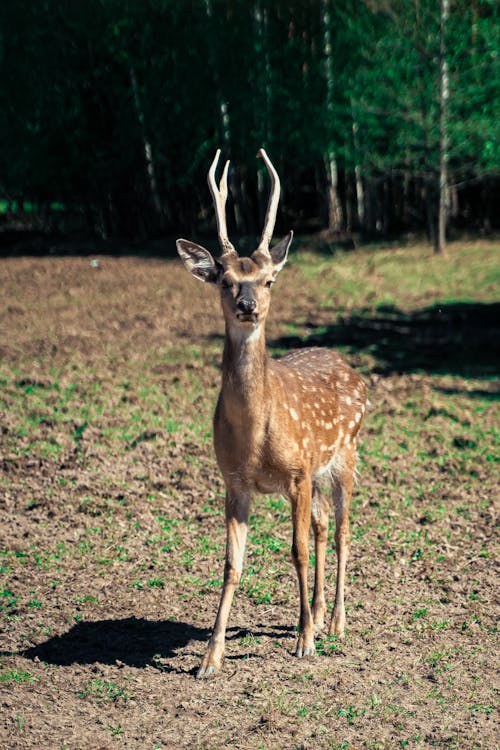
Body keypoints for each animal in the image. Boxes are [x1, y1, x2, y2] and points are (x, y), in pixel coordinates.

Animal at [176, 150, 368, 680]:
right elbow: (231, 564)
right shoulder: (235, 481)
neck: (255, 439)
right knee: (322, 525)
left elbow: (296, 551)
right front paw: (209, 658)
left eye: (269, 280)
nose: (247, 304)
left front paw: (304, 641)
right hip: (319, 469)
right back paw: (320, 614)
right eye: (224, 279)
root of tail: (351, 367)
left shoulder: (297, 472)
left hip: (345, 455)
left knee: (341, 529)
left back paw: (335, 621)